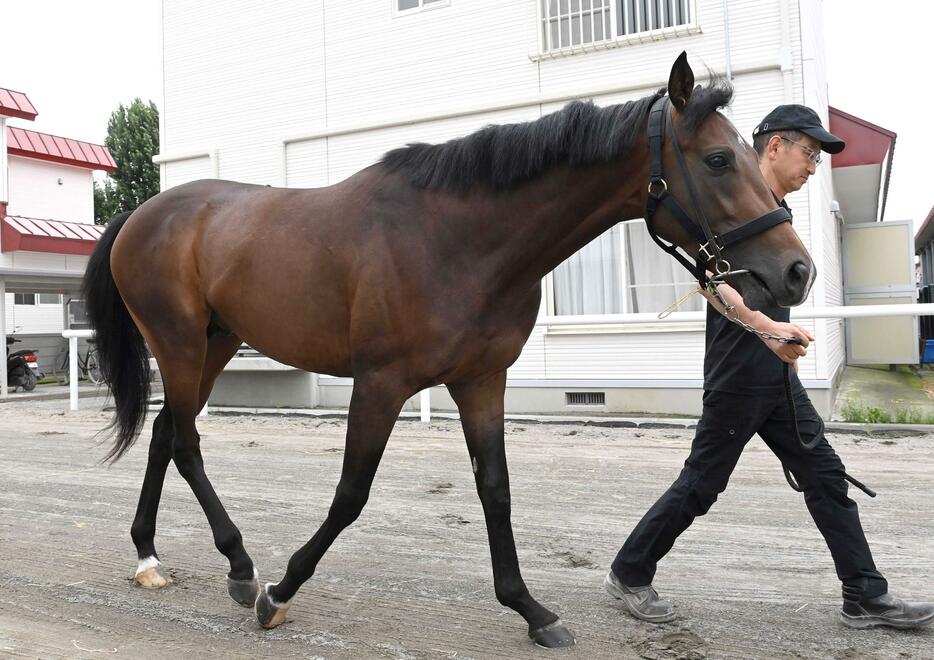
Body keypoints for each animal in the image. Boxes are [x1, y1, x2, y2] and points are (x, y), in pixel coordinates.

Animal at [89, 52, 820, 648]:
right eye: (719, 160)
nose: (797, 272)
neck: (454, 238)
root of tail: (142, 213)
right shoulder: (380, 384)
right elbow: (351, 493)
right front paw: (280, 591)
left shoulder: (481, 380)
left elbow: (495, 489)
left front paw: (530, 609)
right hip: (179, 342)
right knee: (184, 441)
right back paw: (241, 569)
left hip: (215, 343)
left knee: (166, 432)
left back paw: (151, 556)